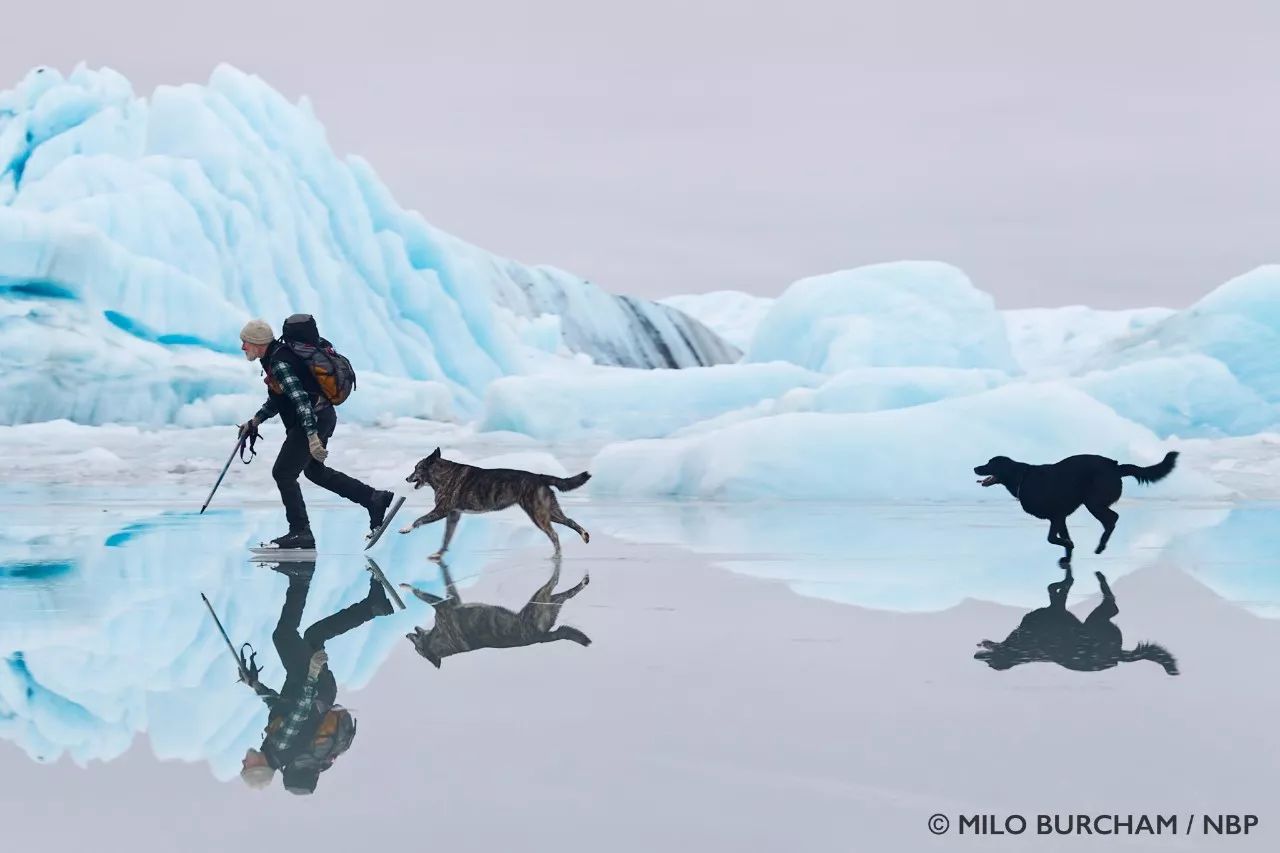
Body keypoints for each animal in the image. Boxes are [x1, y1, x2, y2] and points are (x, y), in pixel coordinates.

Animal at [396, 445, 591, 558]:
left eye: (416, 468)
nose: (406, 478)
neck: (443, 474)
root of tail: (540, 477)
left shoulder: (441, 510)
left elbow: (419, 519)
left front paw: (405, 528)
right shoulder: (453, 515)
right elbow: (446, 537)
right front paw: (440, 554)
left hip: (538, 514)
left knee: (554, 535)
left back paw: (557, 556)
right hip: (550, 510)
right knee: (570, 521)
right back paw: (584, 536)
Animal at [396, 555, 591, 666]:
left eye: (415, 647)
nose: (406, 635)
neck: (436, 639)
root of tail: (540, 638)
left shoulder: (444, 603)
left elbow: (421, 591)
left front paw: (405, 585)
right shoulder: (447, 602)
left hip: (542, 599)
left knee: (559, 581)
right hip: (544, 601)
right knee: (563, 588)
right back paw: (582, 579)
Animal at [977, 448, 1177, 560]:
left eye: (990, 463)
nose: (975, 468)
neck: (1021, 477)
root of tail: (1116, 467)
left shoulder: (1056, 515)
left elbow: (1051, 538)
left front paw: (1069, 546)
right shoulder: (1061, 518)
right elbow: (1064, 537)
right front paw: (1068, 555)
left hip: (1093, 502)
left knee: (1113, 519)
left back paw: (1100, 547)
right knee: (1112, 519)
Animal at [977, 568, 1177, 676]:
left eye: (990, 662)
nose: (975, 656)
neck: (1021, 644)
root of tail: (1118, 655)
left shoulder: (1057, 608)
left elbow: (1055, 586)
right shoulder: (1057, 608)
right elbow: (1059, 586)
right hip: (1096, 620)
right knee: (1113, 606)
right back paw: (1100, 577)